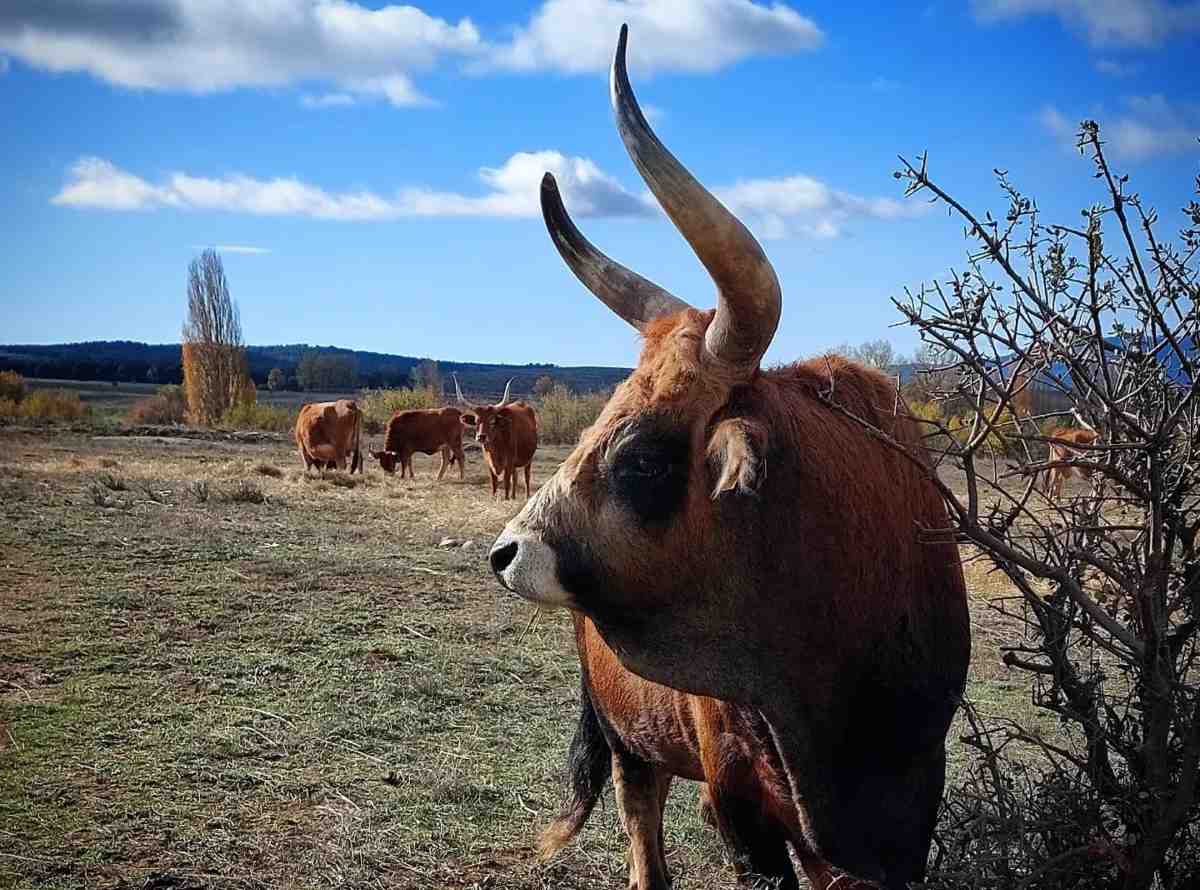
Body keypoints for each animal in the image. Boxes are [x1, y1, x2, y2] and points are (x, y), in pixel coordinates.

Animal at [489, 26, 969, 890]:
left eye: (642, 457)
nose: (506, 553)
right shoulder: (742, 804)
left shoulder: (909, 808)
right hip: (629, 743)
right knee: (643, 834)